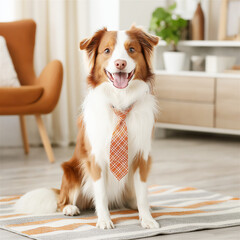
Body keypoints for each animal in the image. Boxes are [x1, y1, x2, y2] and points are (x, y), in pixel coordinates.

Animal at [15, 25, 160, 229]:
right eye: (106, 51)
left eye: (131, 49)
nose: (120, 64)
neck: (120, 102)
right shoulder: (95, 159)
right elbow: (101, 194)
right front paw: (104, 220)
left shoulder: (142, 157)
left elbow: (142, 194)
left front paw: (146, 218)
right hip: (72, 171)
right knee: (63, 201)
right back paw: (70, 208)